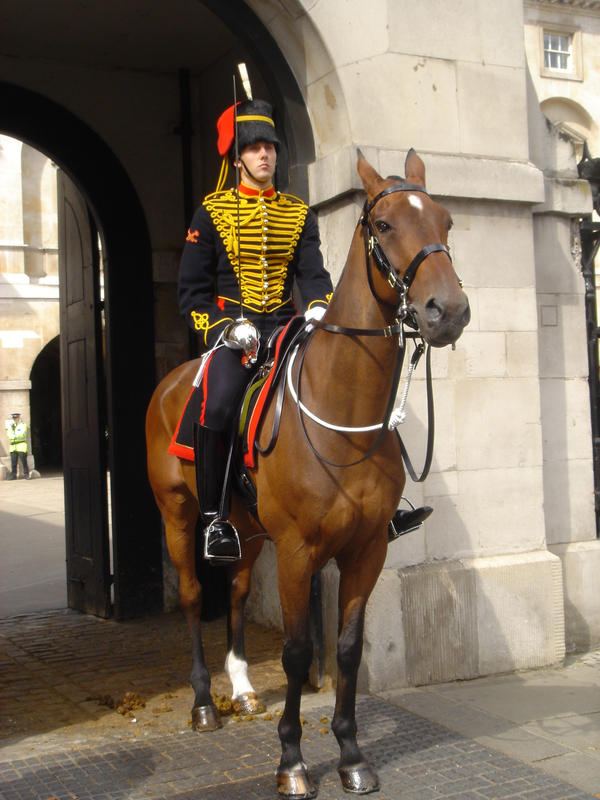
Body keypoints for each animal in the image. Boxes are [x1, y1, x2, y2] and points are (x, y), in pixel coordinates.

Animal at [145, 152, 468, 800]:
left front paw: (350, 753)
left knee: (237, 591)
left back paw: (244, 690)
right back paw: (204, 703)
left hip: (244, 529)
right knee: (193, 596)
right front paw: (292, 760)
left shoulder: (367, 550)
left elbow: (346, 649)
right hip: (178, 515)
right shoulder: (298, 551)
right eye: (385, 225)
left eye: (445, 220)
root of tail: (171, 382)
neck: (344, 415)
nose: (448, 311)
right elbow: (297, 652)